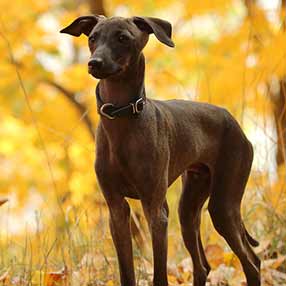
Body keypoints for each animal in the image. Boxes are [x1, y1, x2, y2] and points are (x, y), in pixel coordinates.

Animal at [61, 15, 262, 286]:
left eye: (122, 37)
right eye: (92, 38)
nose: (94, 63)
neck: (122, 118)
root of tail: (235, 124)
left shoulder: (155, 210)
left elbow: (159, 275)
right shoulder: (116, 210)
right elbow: (127, 273)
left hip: (223, 206)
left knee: (250, 263)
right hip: (188, 209)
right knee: (204, 266)